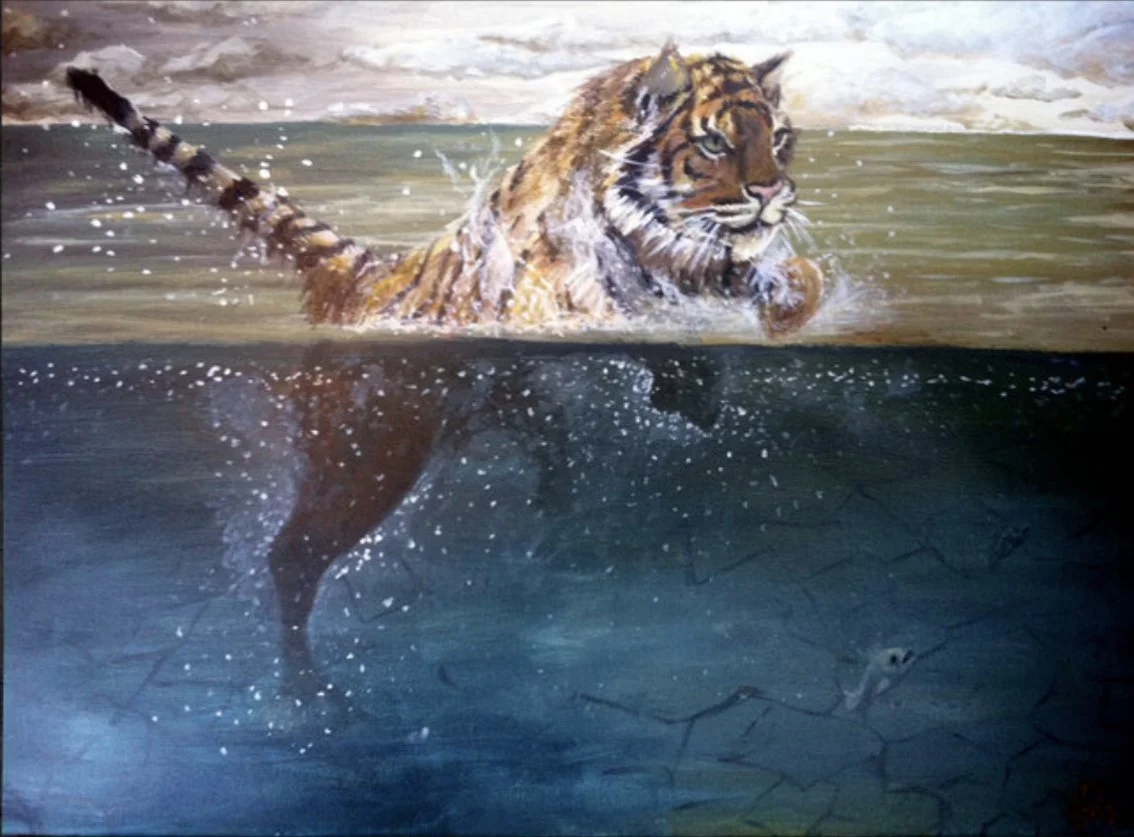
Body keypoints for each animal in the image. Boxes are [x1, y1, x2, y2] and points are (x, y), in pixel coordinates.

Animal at [65, 42, 824, 337]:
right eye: (714, 142)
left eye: (780, 137)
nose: (772, 193)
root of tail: (371, 268)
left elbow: (800, 277)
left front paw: (787, 300)